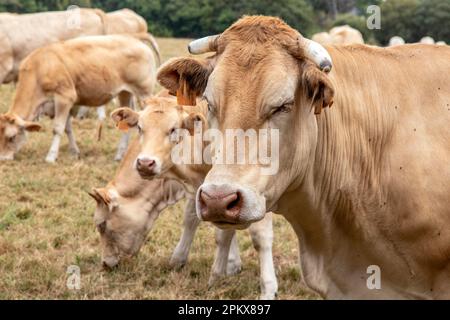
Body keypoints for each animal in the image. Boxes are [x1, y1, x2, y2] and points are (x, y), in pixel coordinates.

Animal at [109, 96, 278, 298]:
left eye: (173, 129)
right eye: (140, 128)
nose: (145, 163)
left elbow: (259, 236)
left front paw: (268, 287)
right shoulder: (210, 192)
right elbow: (199, 221)